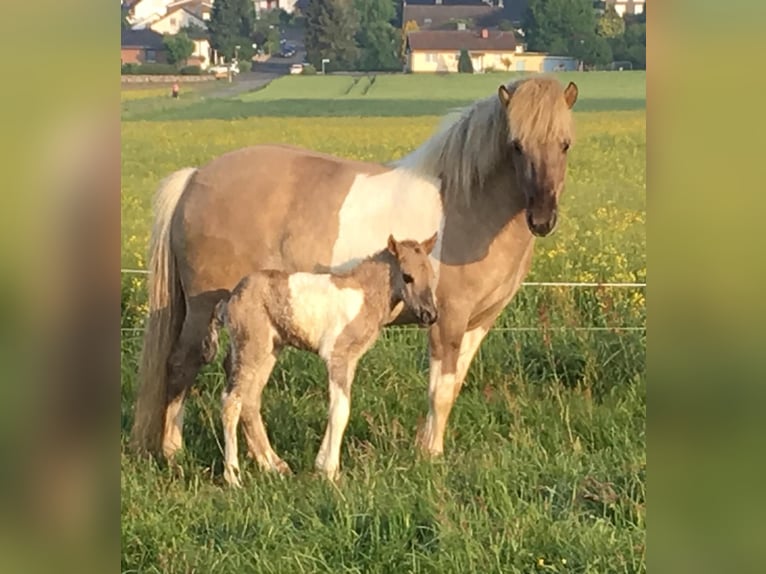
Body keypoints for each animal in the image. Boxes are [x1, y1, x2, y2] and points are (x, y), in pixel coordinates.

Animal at [204, 234, 440, 486]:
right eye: (407, 276)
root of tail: (230, 300)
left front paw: (320, 465)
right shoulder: (337, 356)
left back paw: (272, 466)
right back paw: (233, 476)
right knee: (231, 401)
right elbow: (340, 411)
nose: (430, 315)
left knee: (250, 399)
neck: (366, 295)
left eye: (431, 276)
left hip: (268, 350)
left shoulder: (351, 360)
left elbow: (339, 406)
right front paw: (331, 472)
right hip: (251, 347)